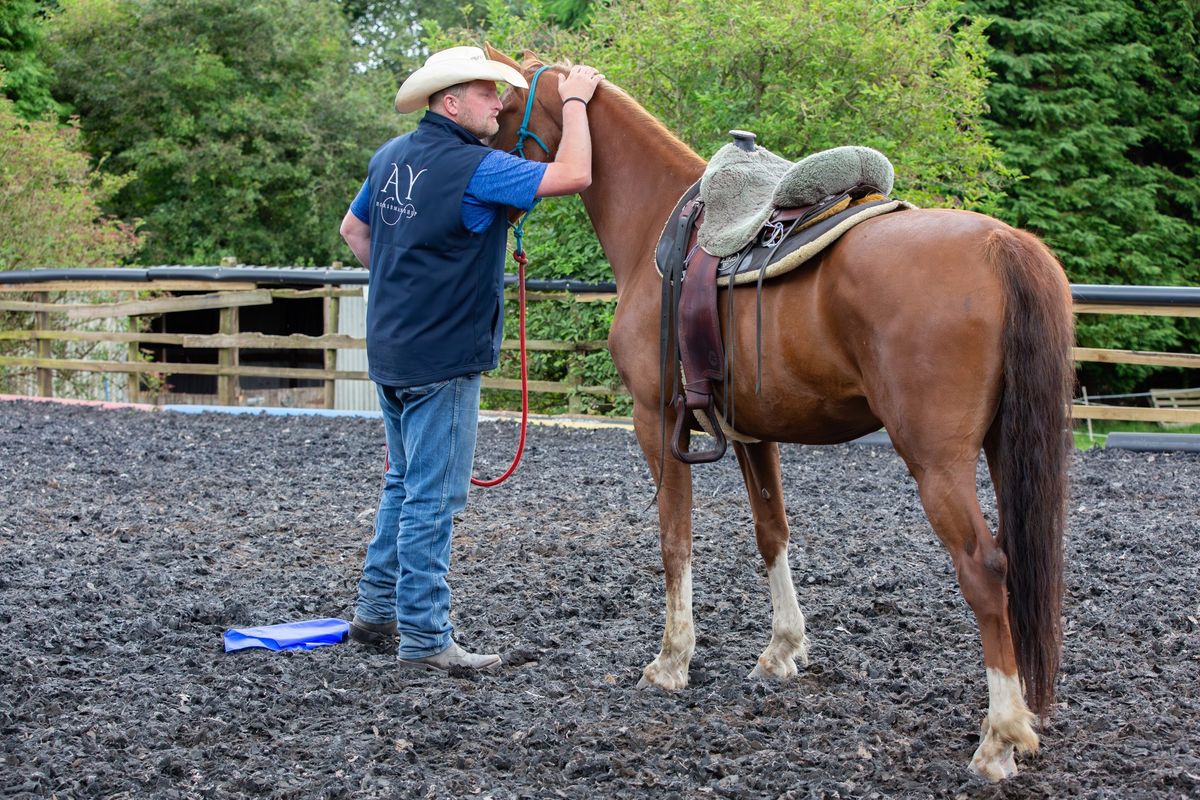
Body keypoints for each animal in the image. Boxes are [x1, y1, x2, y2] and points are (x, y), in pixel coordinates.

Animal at [487, 45, 1080, 782]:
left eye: (502, 101)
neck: (654, 221)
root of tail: (1001, 244)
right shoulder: (752, 433)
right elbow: (772, 532)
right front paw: (782, 650)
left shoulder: (656, 422)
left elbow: (674, 541)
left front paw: (672, 661)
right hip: (1005, 447)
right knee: (1020, 565)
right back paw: (1020, 721)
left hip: (936, 460)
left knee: (985, 567)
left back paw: (999, 736)